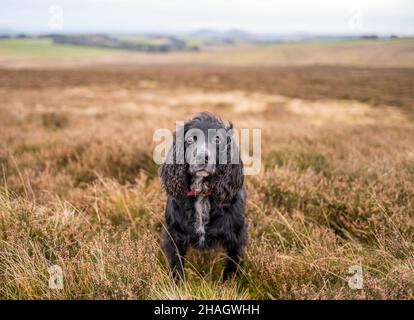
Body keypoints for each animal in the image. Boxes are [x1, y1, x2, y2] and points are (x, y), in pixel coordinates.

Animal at [160, 112, 247, 280]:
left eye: (217, 139)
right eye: (189, 139)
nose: (202, 157)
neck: (202, 193)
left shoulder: (236, 236)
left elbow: (231, 266)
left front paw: (229, 284)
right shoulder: (174, 234)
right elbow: (176, 265)